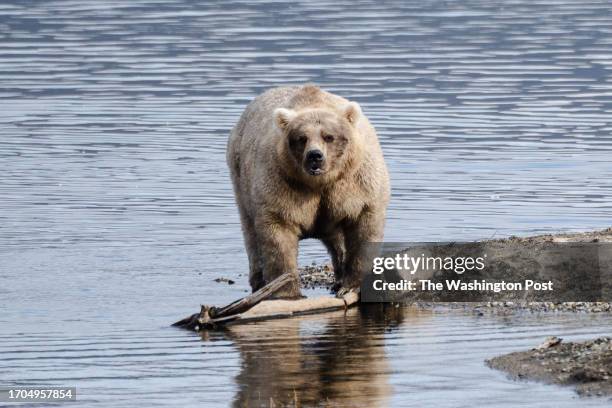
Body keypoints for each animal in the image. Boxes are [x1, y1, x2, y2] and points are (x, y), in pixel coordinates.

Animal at [227, 85, 390, 296]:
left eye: (329, 136)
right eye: (301, 138)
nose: (315, 156)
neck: (320, 182)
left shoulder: (355, 186)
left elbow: (364, 227)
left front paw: (352, 285)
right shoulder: (282, 184)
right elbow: (278, 234)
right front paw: (287, 291)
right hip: (240, 180)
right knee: (250, 232)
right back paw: (258, 281)